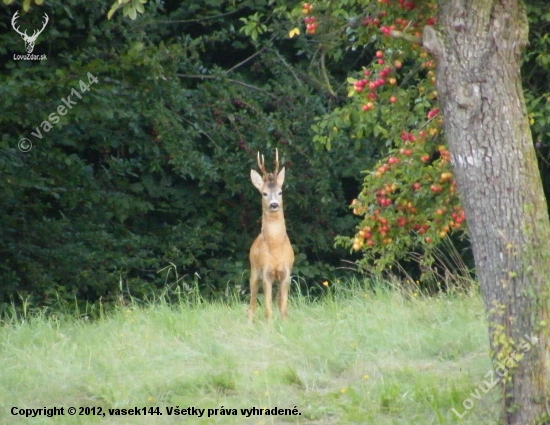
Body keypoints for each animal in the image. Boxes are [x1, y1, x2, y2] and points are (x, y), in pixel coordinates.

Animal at [249, 149, 296, 322]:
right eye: (264, 193)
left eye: (280, 192)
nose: (274, 204)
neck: (275, 247)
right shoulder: (266, 273)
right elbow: (267, 308)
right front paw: (269, 325)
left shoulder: (286, 273)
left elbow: (283, 308)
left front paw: (284, 323)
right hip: (254, 273)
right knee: (252, 305)